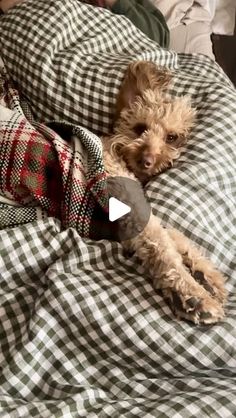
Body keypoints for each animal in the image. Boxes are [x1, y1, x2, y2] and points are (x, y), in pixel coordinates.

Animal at [102, 61, 227, 324]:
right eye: (140, 128)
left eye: (172, 137)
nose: (147, 160)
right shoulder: (131, 207)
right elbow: (164, 247)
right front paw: (195, 296)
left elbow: (173, 236)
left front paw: (206, 275)